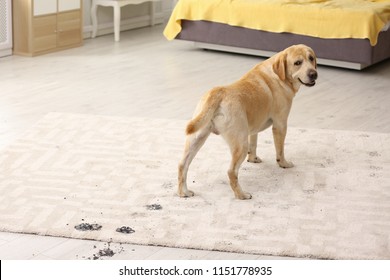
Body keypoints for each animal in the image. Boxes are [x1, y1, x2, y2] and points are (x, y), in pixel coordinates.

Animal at [178, 44, 318, 199]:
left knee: (182, 164)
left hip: (197, 138)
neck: (279, 76)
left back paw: (183, 192)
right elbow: (280, 150)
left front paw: (253, 159)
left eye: (311, 58)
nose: (314, 74)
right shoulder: (280, 124)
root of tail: (218, 92)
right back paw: (241, 195)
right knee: (231, 171)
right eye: (297, 63)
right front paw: (284, 164)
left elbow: (254, 144)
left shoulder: (253, 128)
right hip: (240, 143)